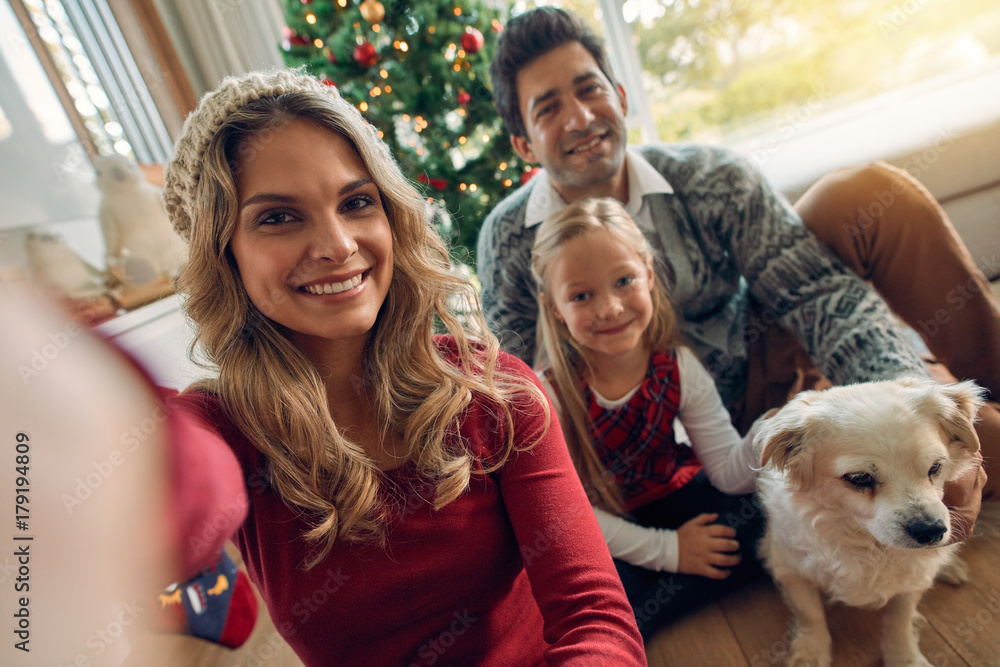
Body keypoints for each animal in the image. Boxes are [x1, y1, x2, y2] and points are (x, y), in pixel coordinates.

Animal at [752, 378, 980, 664]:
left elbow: (900, 620)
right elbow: (810, 615)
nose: (931, 531)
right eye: (859, 478)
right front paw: (811, 653)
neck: (869, 545)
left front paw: (904, 657)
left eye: (936, 467)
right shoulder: (789, 568)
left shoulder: (913, 578)